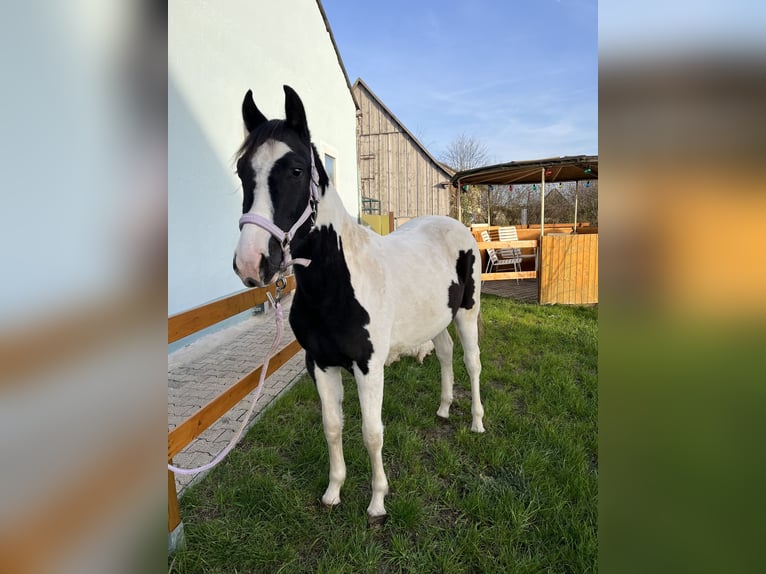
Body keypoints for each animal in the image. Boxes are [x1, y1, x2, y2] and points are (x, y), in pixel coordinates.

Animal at [234, 86, 486, 528]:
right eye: (241, 172)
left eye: (296, 170)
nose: (251, 263)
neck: (336, 285)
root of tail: (457, 226)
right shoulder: (320, 364)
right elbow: (333, 426)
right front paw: (333, 492)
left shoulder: (368, 367)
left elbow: (372, 432)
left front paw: (377, 502)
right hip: (437, 320)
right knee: (445, 354)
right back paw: (442, 409)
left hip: (467, 314)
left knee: (472, 362)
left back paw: (475, 422)